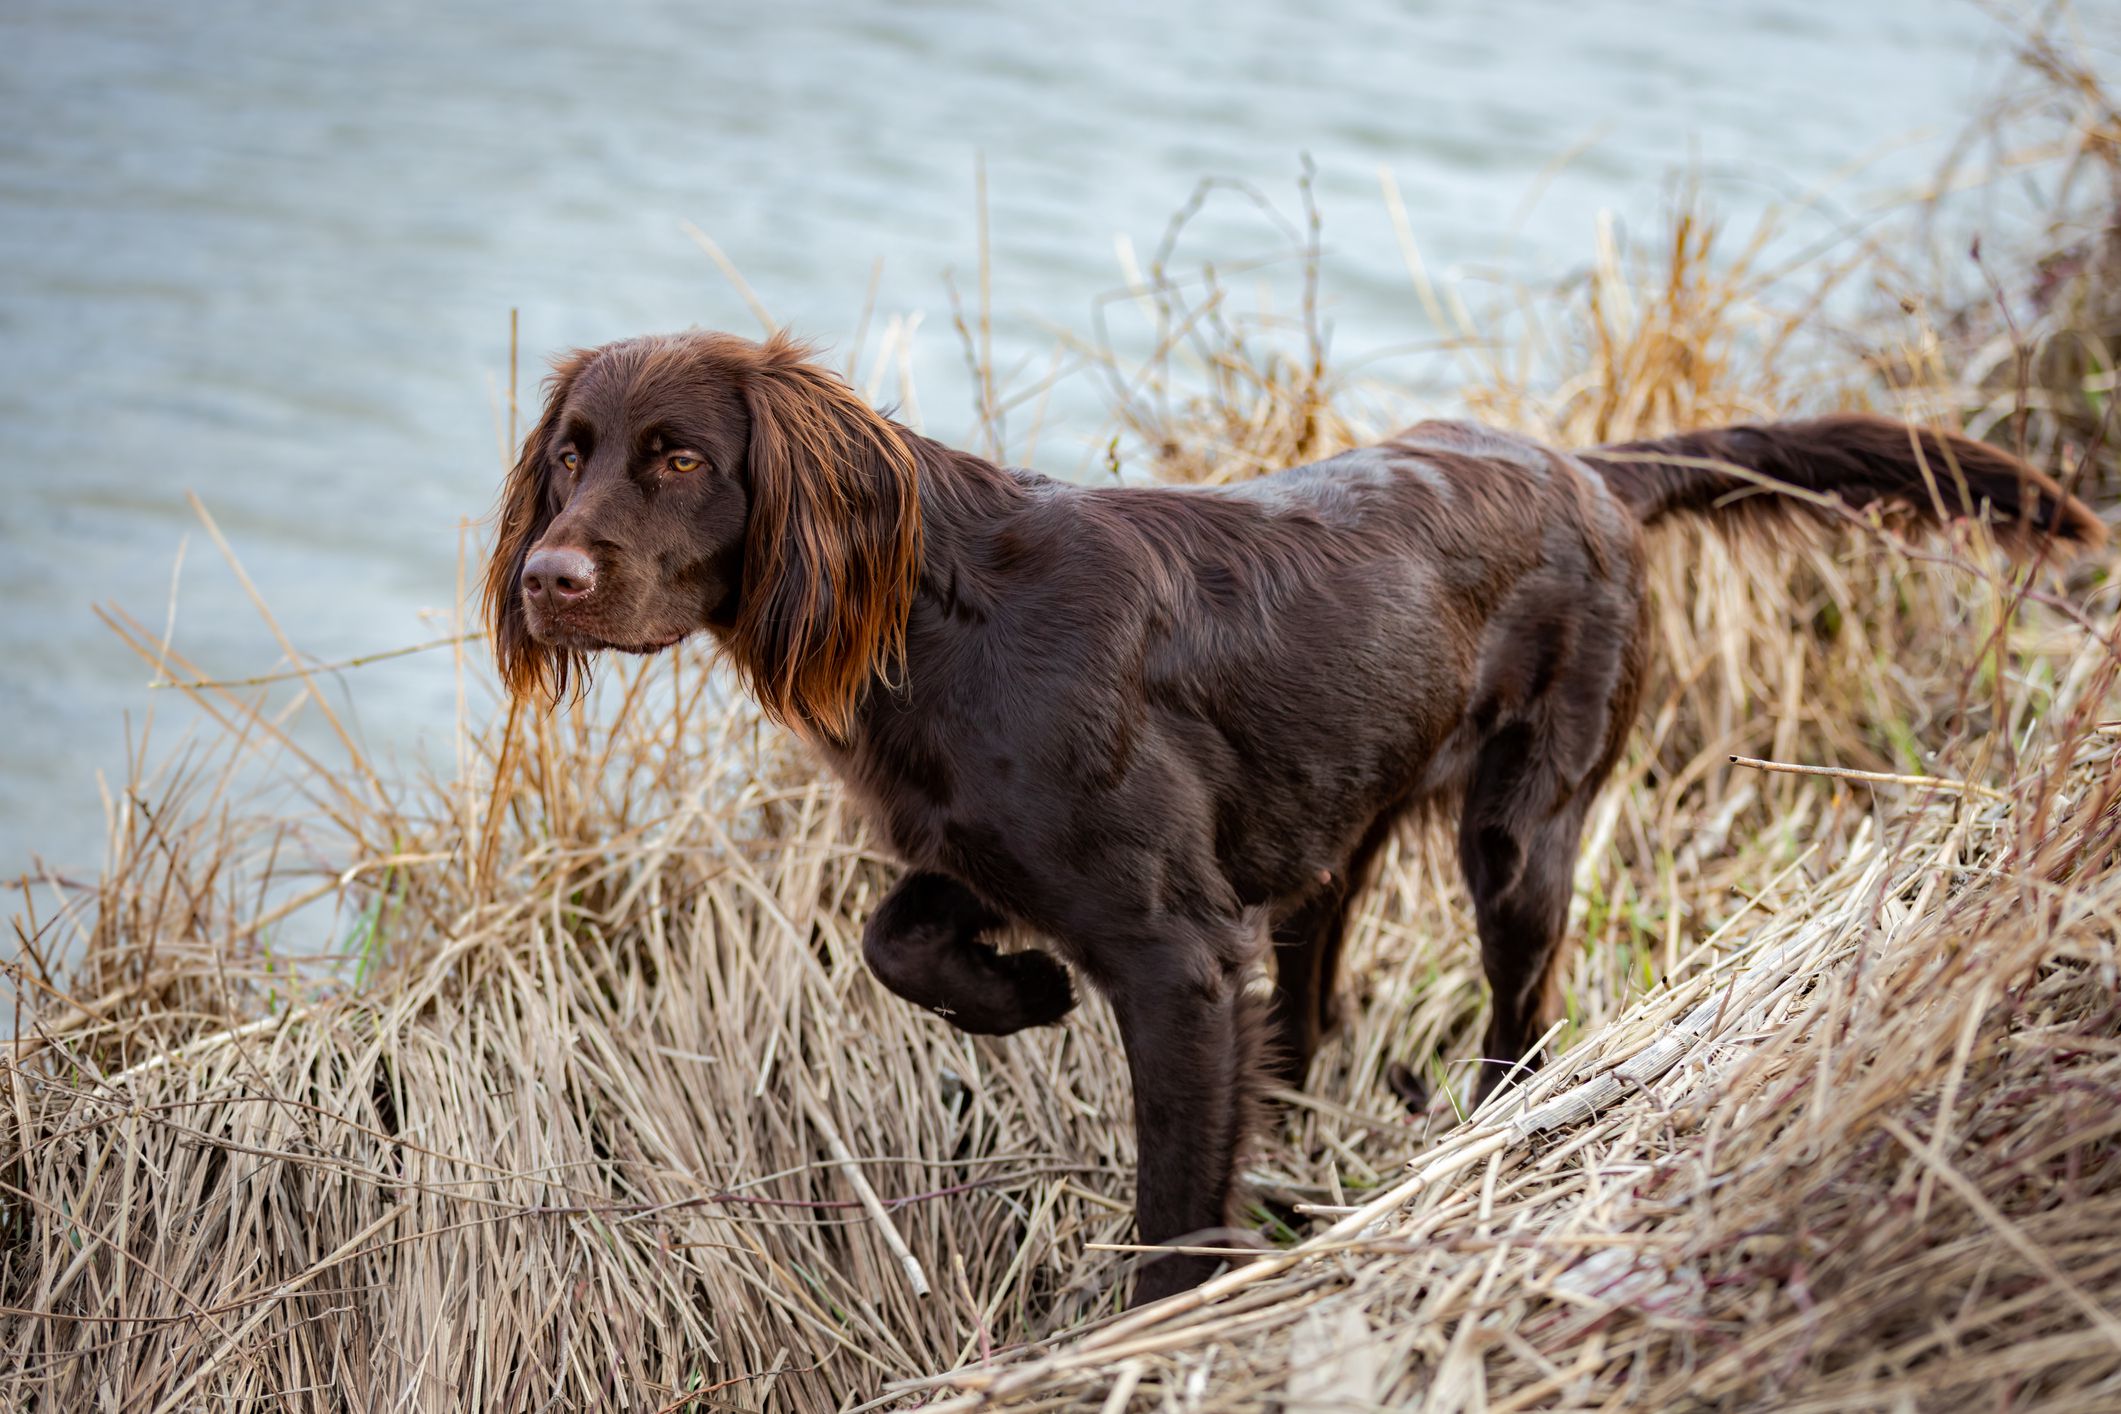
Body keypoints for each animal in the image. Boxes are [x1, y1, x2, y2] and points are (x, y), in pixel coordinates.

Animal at [485, 332, 2104, 1305]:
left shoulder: (1179, 954)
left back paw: (1483, 1126)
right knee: (1317, 1004)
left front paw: (1141, 1333)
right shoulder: (994, 854)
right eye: (569, 452)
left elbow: (1169, 1202)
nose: (547, 577)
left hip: (1521, 830)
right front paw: (1019, 993)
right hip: (1335, 836)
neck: (945, 617)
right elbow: (899, 938)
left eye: (681, 457)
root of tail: (1584, 466)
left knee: (1524, 1015)